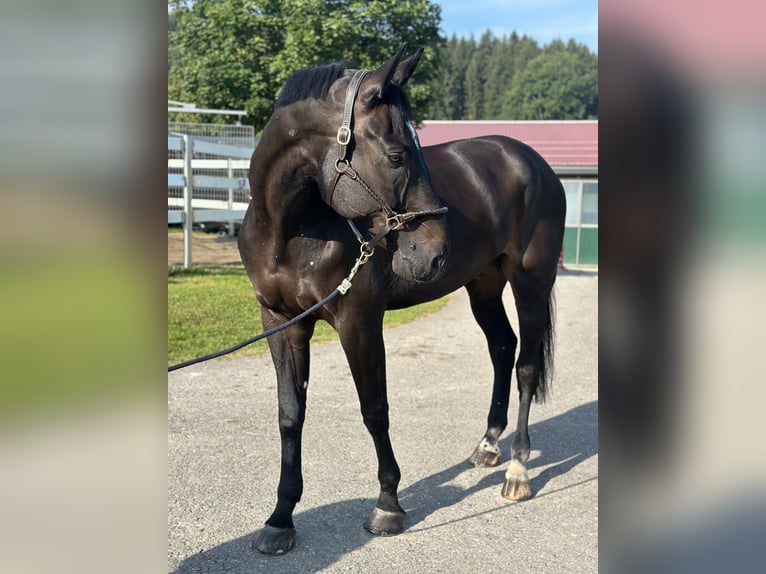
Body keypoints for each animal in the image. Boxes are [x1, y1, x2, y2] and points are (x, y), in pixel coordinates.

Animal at [240, 46, 568, 560]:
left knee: (527, 367)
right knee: (502, 348)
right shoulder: (282, 322)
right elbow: (290, 415)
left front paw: (388, 505)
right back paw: (488, 445)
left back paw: (517, 470)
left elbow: (374, 408)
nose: (434, 251)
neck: (289, 229)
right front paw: (280, 518)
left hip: (530, 283)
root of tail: (534, 164)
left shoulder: (359, 321)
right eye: (397, 154)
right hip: (484, 285)